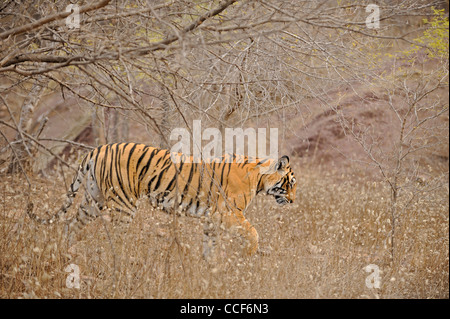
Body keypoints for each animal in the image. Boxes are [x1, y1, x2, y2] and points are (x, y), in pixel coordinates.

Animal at [26, 143, 298, 260]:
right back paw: (124, 261)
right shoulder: (229, 213)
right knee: (115, 238)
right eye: (291, 183)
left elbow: (209, 245)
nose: (294, 201)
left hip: (94, 199)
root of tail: (96, 149)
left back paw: (67, 253)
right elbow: (253, 232)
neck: (259, 177)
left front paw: (209, 268)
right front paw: (249, 255)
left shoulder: (213, 218)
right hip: (122, 203)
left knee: (71, 223)